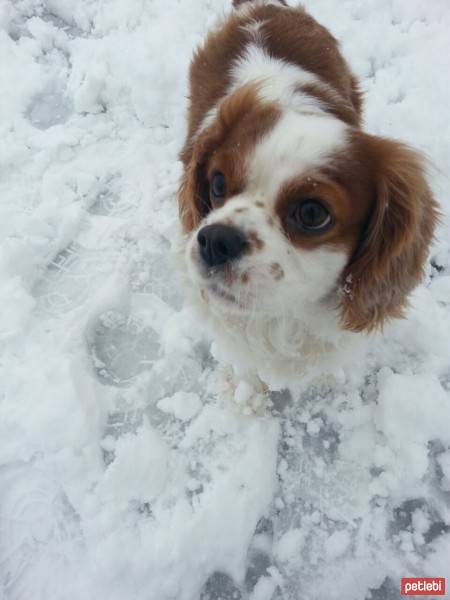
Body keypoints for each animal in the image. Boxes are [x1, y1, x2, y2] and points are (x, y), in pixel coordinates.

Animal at [178, 0, 438, 390]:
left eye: (312, 213)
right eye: (218, 184)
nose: (216, 239)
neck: (287, 313)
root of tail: (260, 6)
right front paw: (246, 392)